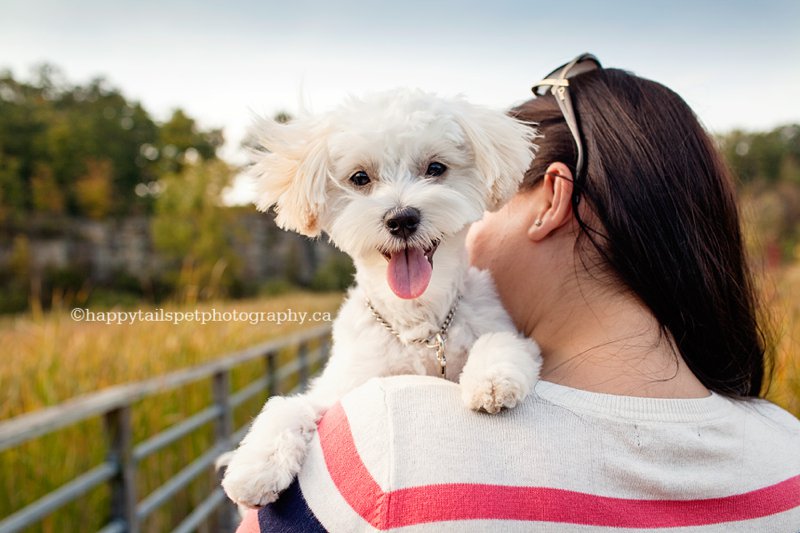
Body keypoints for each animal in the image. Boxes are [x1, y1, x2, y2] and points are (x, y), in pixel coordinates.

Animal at [222, 88, 540, 508]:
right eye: (360, 178)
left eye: (435, 168)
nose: (401, 218)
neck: (417, 323)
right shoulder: (343, 388)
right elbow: (287, 405)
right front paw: (257, 464)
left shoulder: (505, 331)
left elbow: (500, 341)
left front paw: (491, 379)